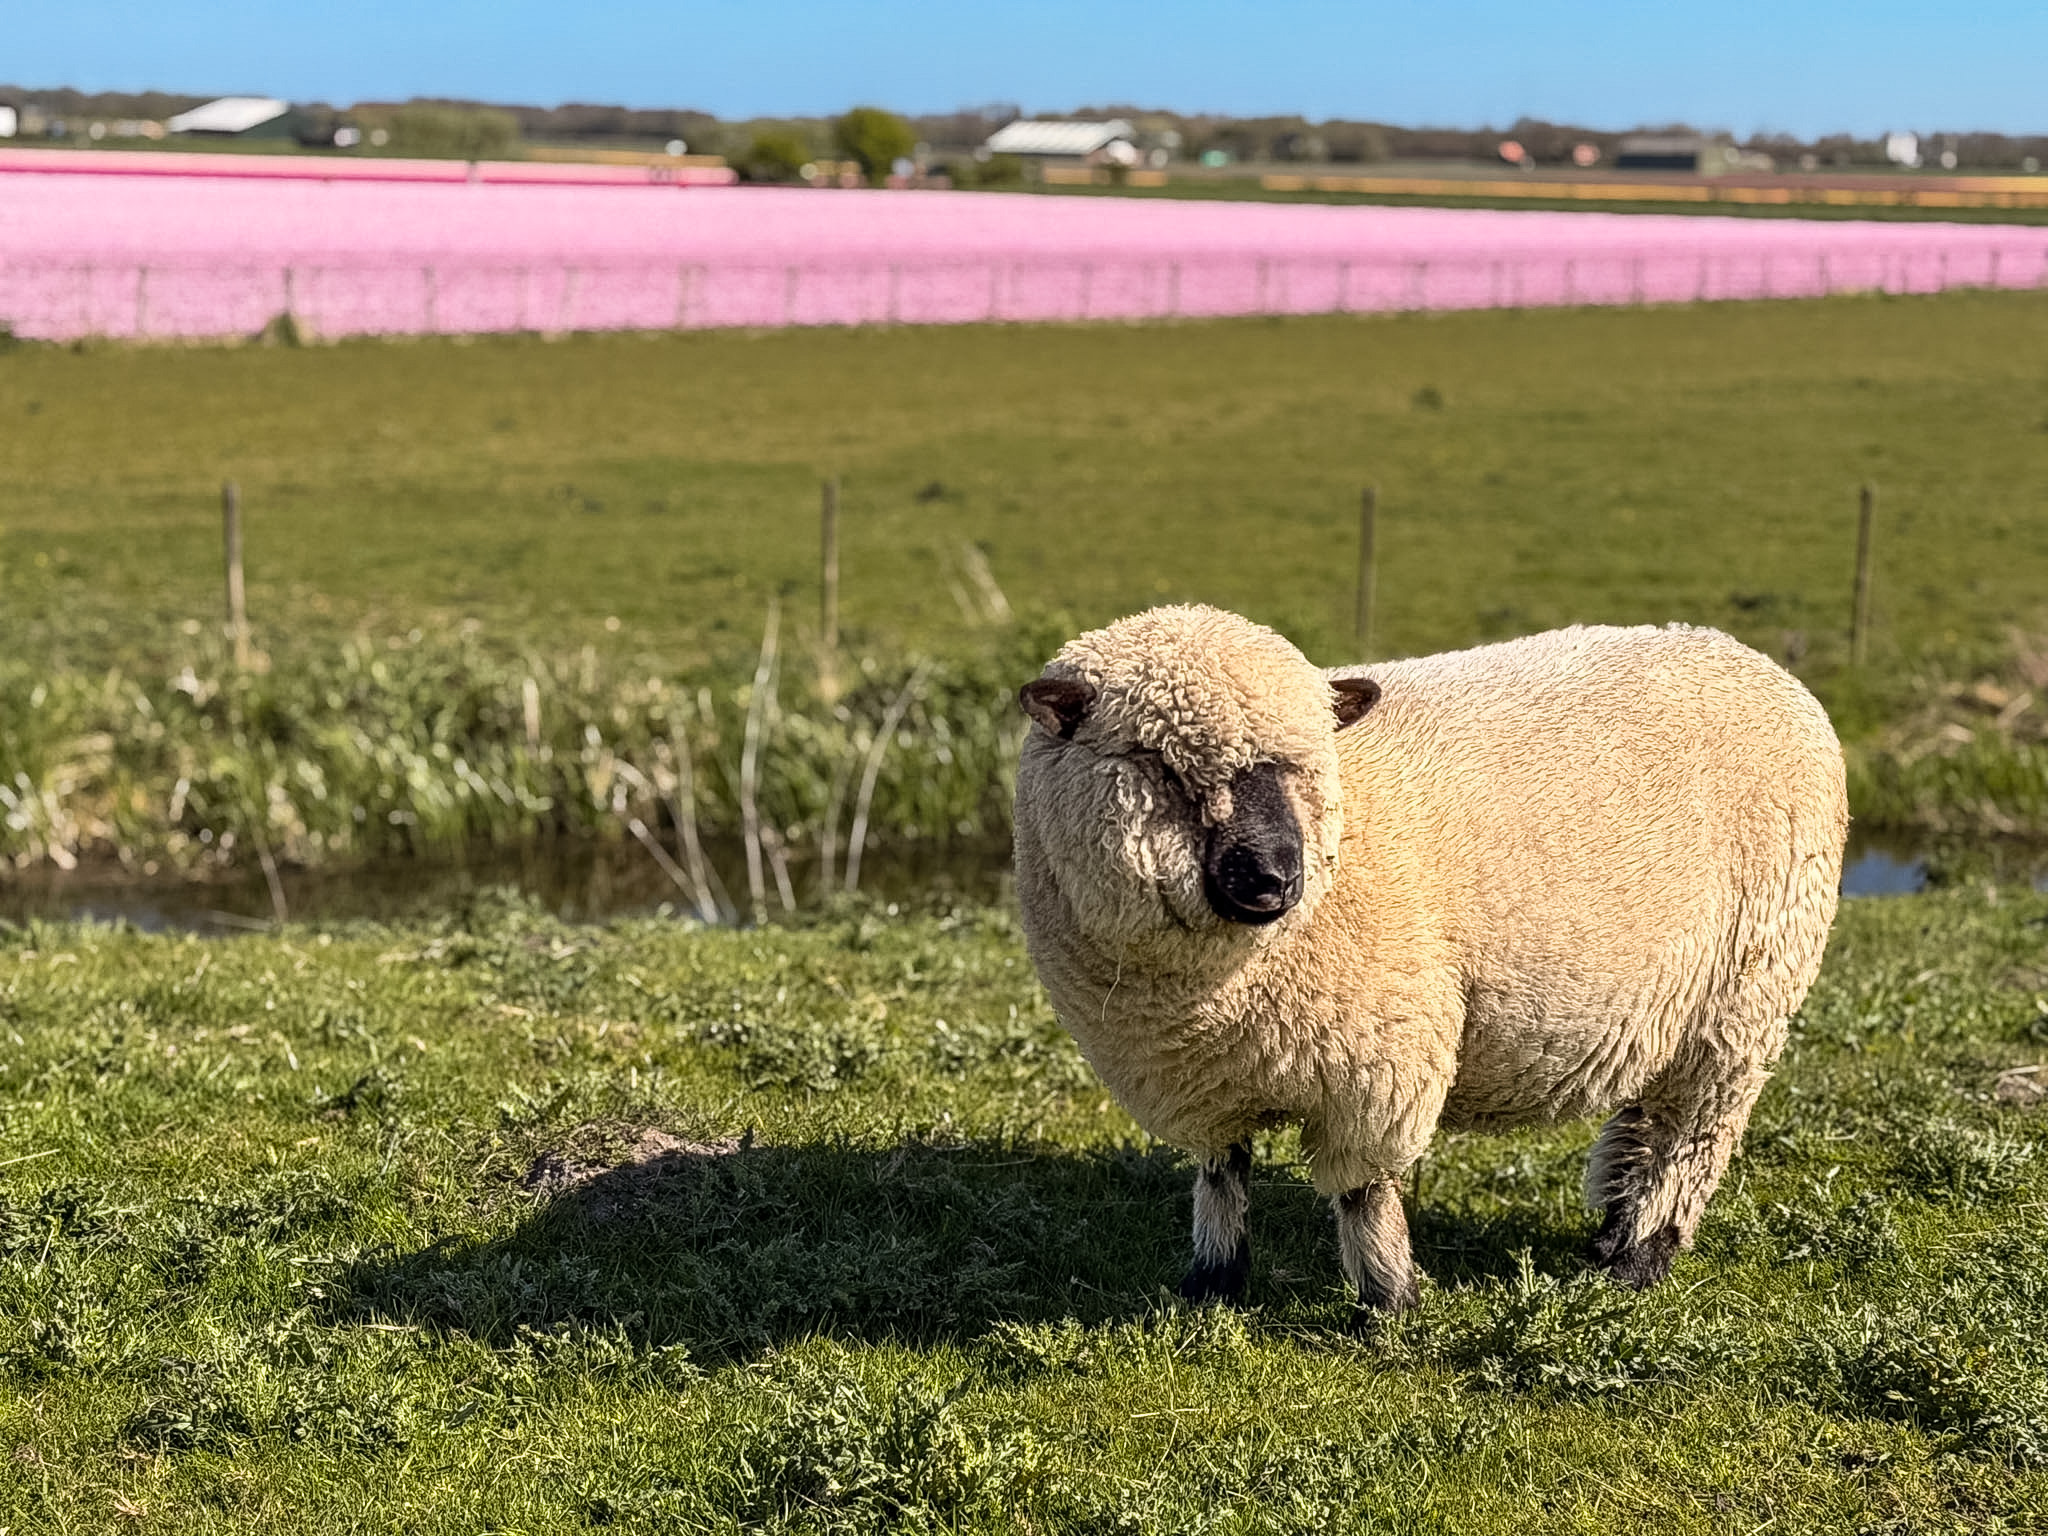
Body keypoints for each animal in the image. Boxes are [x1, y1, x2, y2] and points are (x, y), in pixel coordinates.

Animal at [1013, 605, 1846, 1315]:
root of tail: (1760, 665)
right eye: (1161, 764)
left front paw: (1389, 1302)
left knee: (1693, 1133)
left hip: (1746, 993)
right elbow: (1222, 1175)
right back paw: (1612, 1235)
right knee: (1647, 1121)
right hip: (1673, 999)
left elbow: (1364, 1193)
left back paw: (1639, 1259)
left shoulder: (1377, 1059)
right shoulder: (1196, 1080)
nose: (1277, 879)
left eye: (1302, 766)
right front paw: (1212, 1283)